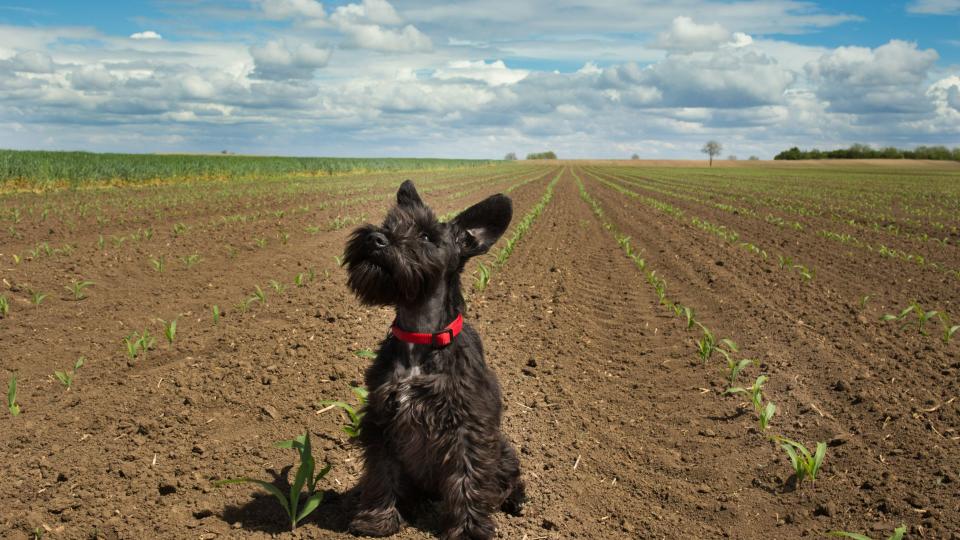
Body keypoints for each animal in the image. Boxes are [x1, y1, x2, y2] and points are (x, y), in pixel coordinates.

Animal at [344, 179, 524, 536]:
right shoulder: (382, 420)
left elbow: (468, 480)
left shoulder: (468, 427)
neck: (420, 337)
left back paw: (513, 500)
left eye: (427, 236)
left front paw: (468, 530)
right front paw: (377, 520)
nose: (375, 238)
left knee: (508, 478)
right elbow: (381, 473)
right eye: (389, 223)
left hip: (503, 449)